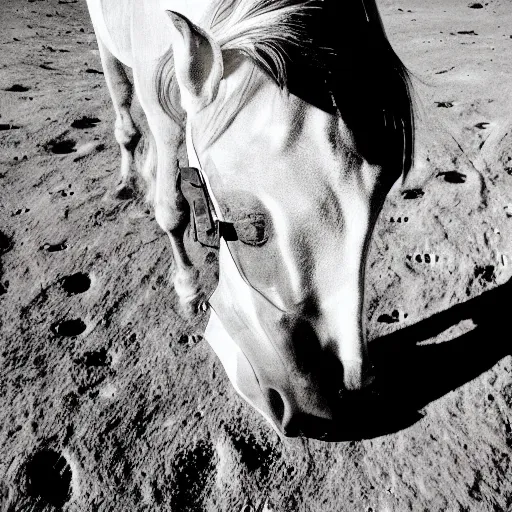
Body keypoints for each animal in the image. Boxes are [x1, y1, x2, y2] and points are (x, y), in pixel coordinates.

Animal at [85, 0, 412, 438]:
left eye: (379, 200)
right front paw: (188, 289)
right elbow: (172, 210)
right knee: (122, 107)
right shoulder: (160, 103)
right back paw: (127, 181)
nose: (321, 409)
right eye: (250, 225)